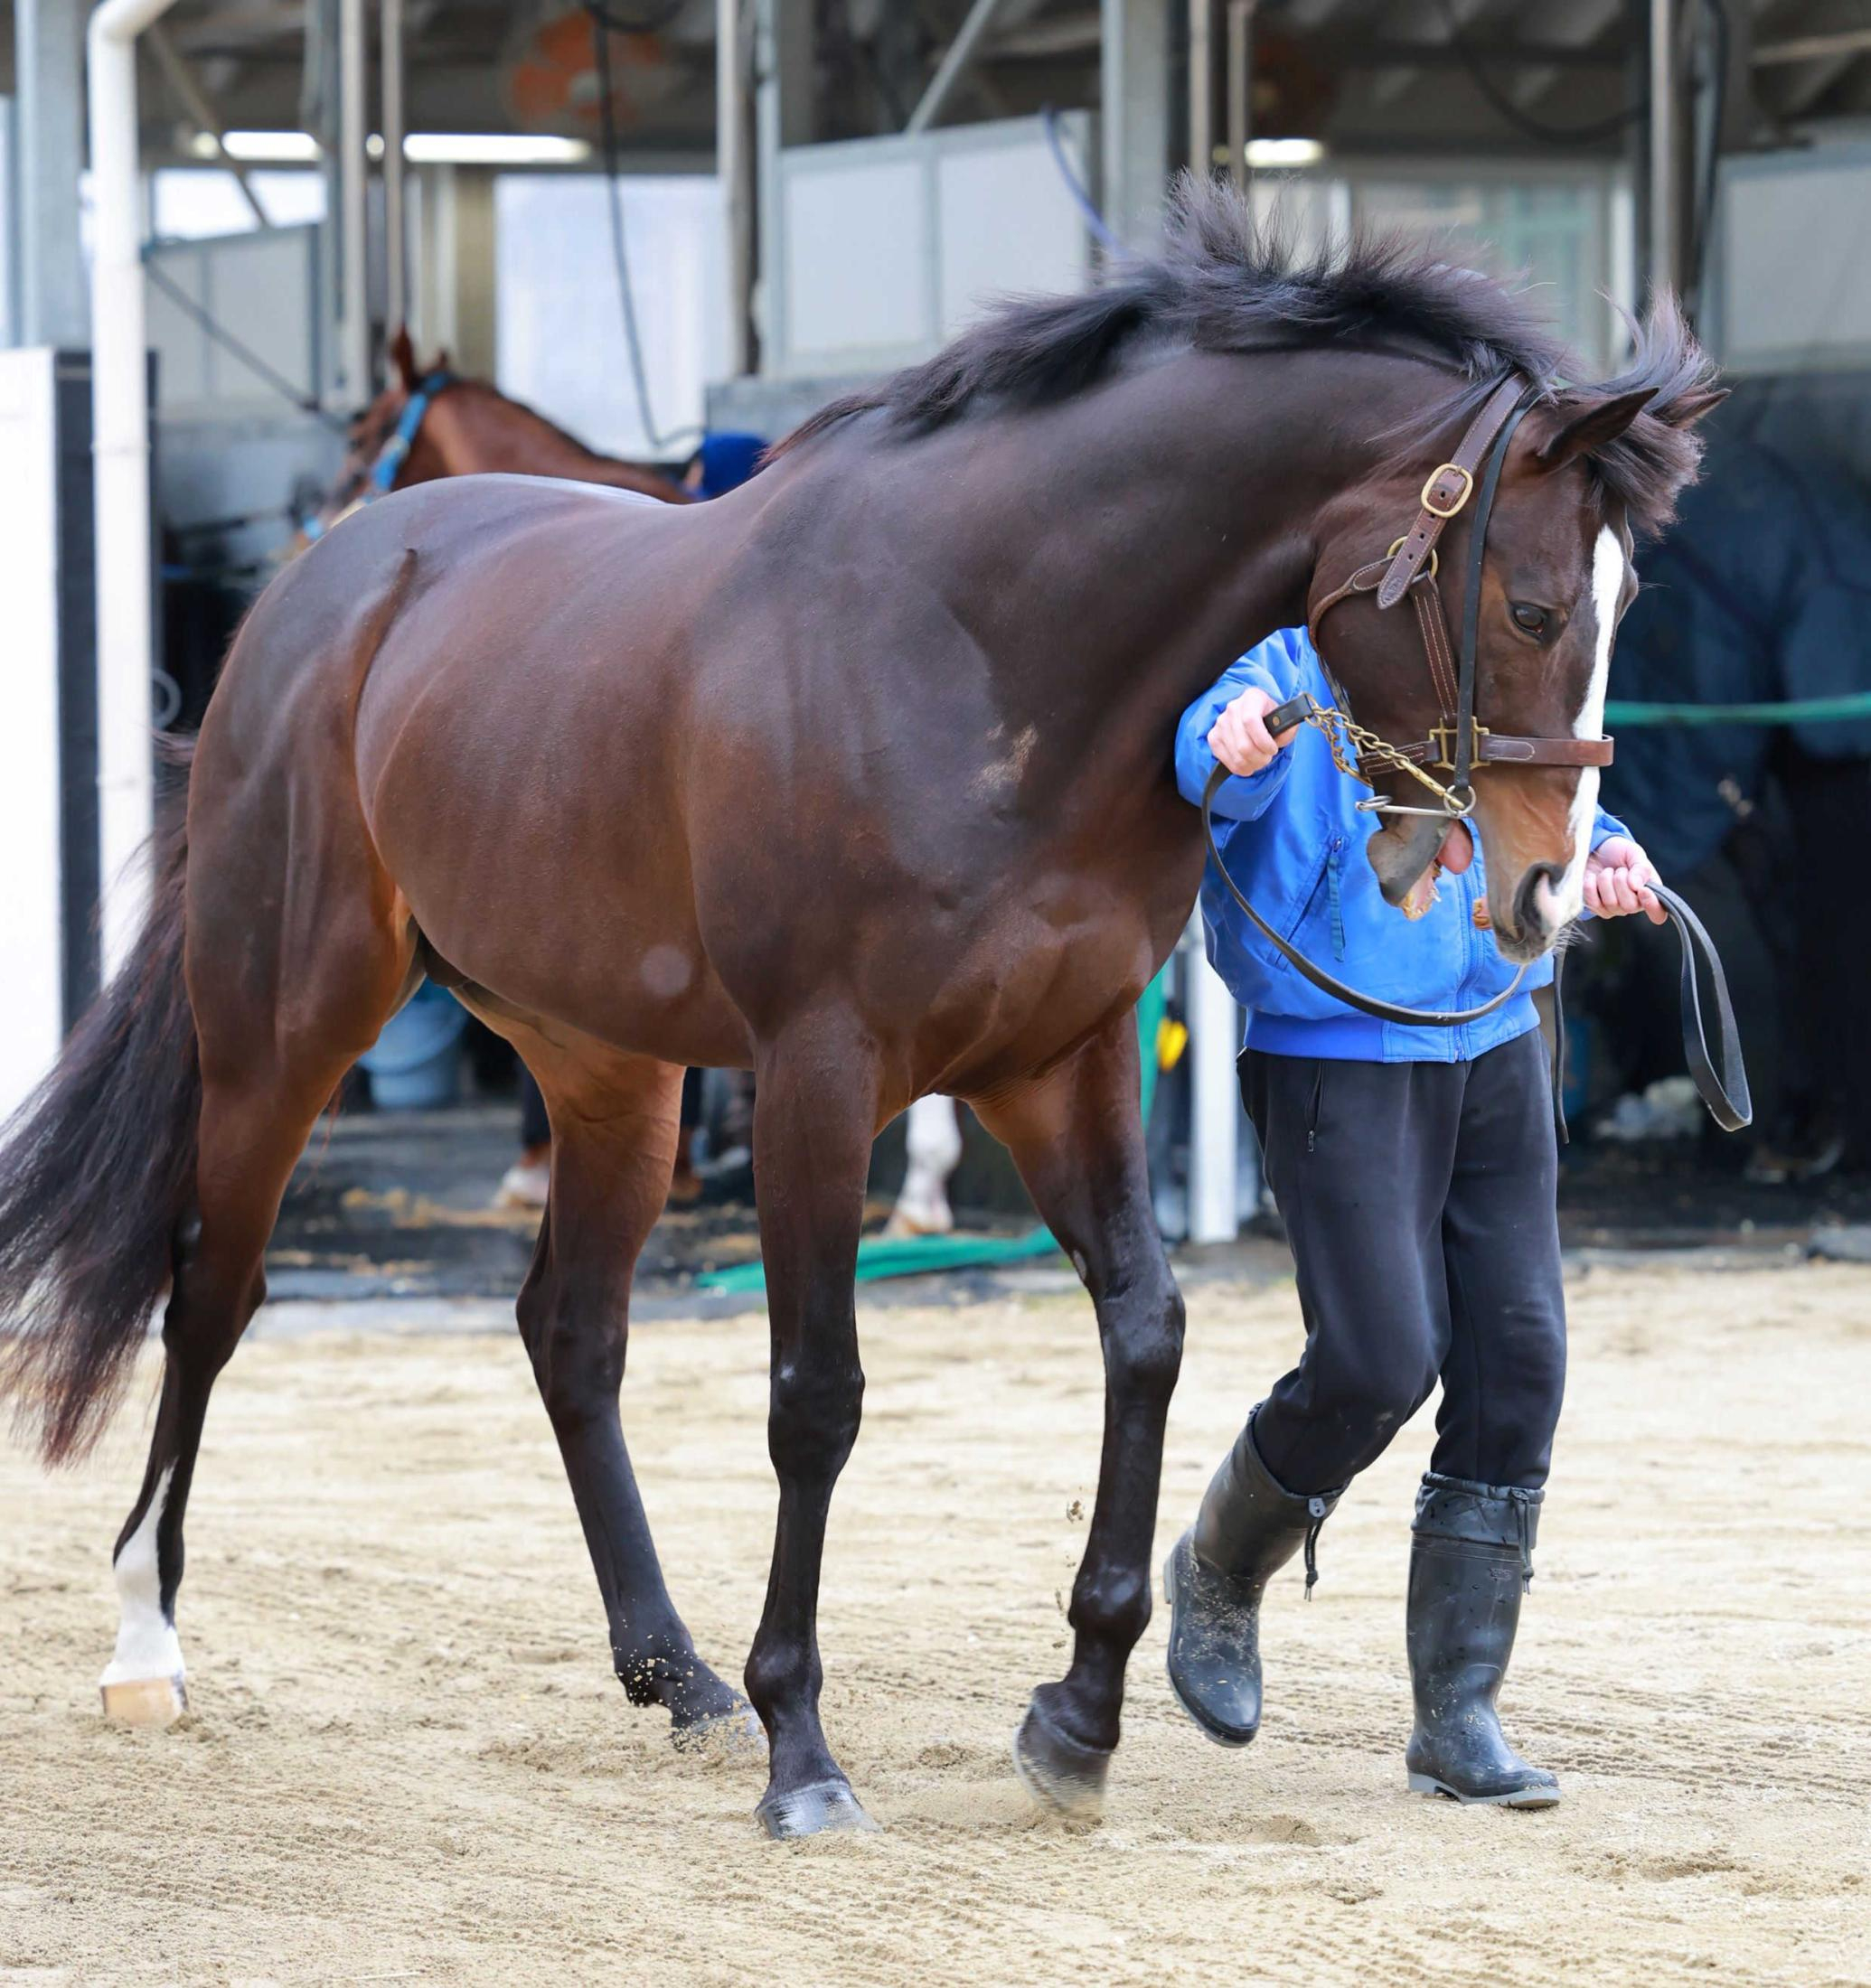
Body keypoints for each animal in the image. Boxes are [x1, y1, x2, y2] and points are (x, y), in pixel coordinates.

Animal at [0, 186, 1717, 1844]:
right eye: (1534, 605)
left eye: (1625, 598)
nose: (1546, 889)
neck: (986, 650)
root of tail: (325, 586)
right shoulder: (819, 1076)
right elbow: (817, 1396)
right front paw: (804, 1756)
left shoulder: (1060, 1062)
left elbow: (1147, 1336)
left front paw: (1077, 1718)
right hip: (283, 1026)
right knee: (211, 1294)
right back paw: (148, 1643)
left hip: (607, 1067)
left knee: (571, 1332)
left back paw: (673, 1674)